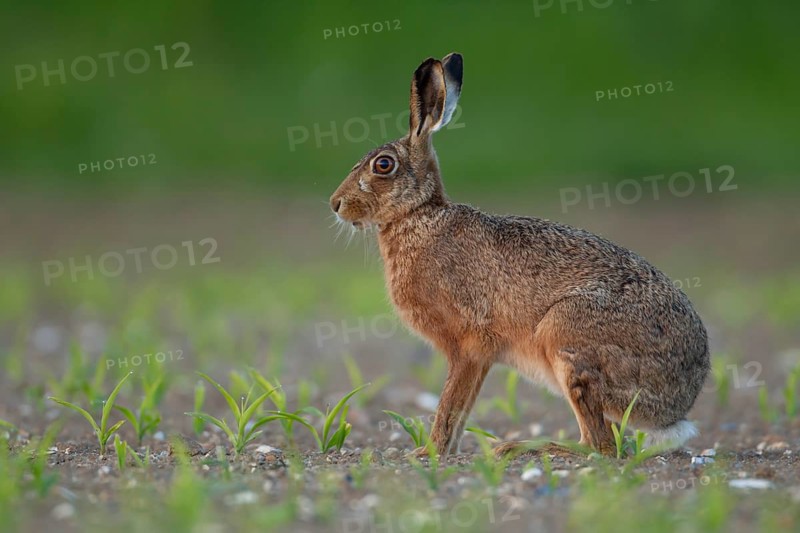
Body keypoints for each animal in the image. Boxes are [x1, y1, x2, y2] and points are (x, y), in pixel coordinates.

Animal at [329, 52, 710, 458]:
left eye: (383, 165)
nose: (335, 204)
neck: (419, 214)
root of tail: (675, 407)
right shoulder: (480, 358)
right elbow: (462, 408)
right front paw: (445, 451)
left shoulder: (469, 344)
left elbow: (449, 405)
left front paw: (428, 453)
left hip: (567, 336)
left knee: (600, 446)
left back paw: (522, 448)